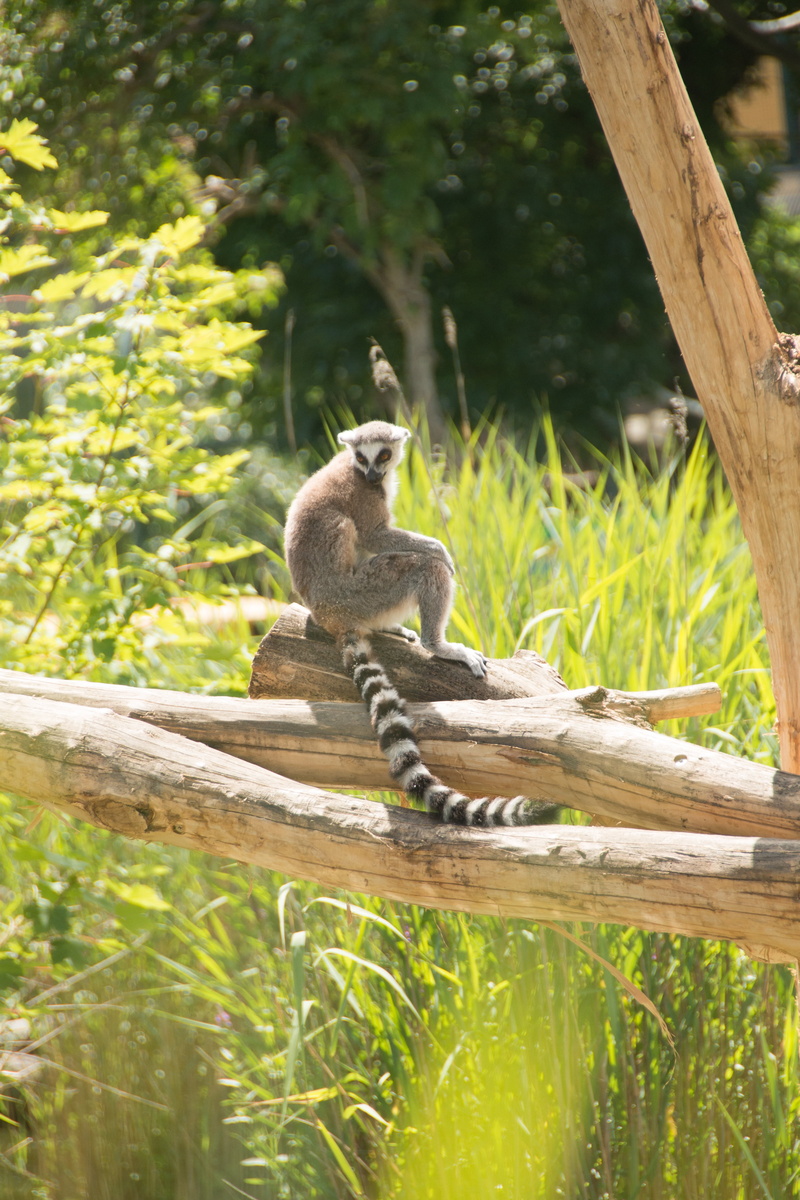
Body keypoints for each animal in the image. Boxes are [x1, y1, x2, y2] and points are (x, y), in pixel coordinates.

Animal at [284, 420, 560, 827]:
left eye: (383, 454)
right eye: (362, 457)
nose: (372, 474)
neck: (363, 473)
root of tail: (329, 614)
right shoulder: (362, 495)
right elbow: (376, 535)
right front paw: (439, 548)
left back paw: (390, 628)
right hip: (363, 590)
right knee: (421, 566)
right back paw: (438, 643)